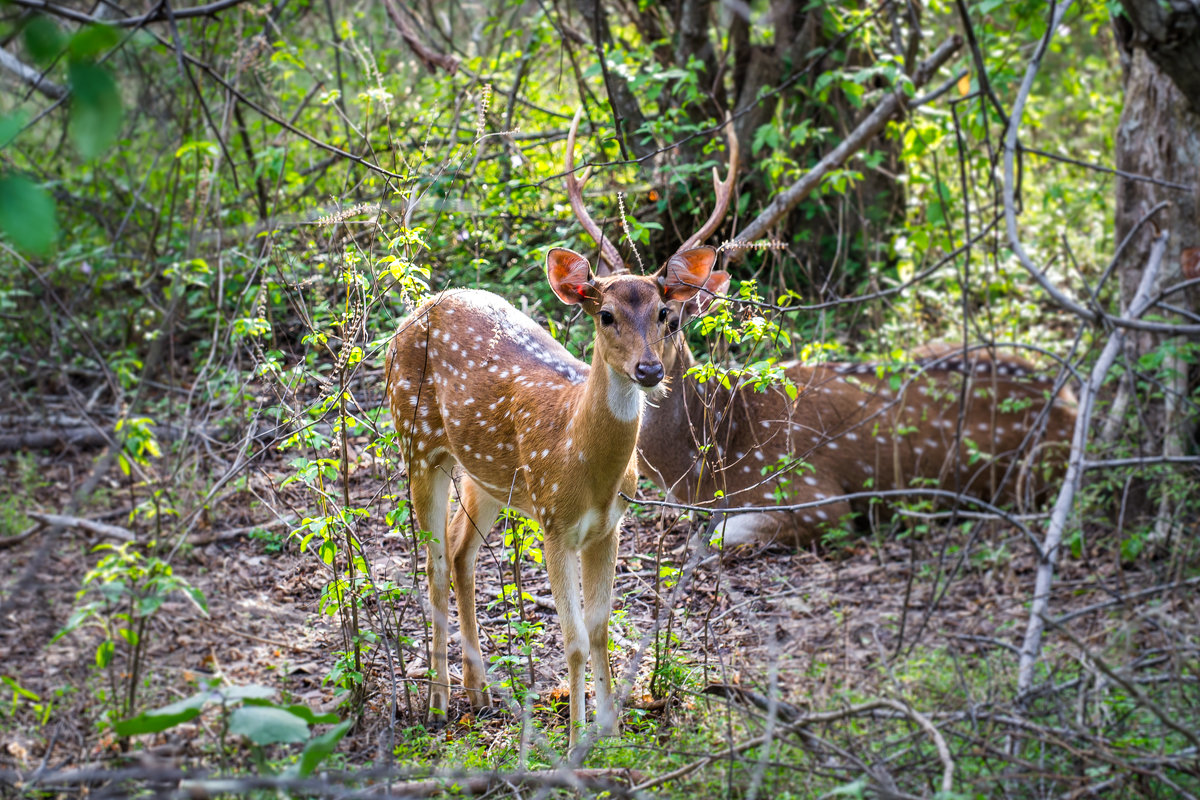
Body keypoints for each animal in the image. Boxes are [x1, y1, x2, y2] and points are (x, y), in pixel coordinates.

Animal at [388, 219, 715, 743]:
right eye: (605, 315)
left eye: (667, 315)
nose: (649, 369)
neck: (578, 457)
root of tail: (417, 310)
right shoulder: (554, 522)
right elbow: (574, 637)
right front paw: (577, 738)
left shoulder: (609, 526)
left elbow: (600, 628)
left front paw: (611, 731)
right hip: (416, 440)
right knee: (433, 563)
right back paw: (438, 703)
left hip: (486, 475)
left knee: (460, 551)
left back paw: (479, 693)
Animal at [561, 113, 1080, 551]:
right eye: (605, 315)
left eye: (669, 315)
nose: (648, 370)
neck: (711, 467)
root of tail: (1069, 401)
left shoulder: (816, 497)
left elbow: (717, 536)